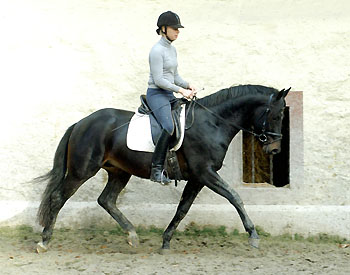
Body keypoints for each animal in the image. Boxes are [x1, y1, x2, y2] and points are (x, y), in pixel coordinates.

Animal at [37, 83, 292, 252]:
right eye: (277, 114)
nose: (275, 150)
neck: (214, 122)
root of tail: (81, 123)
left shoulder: (198, 178)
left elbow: (183, 209)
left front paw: (166, 240)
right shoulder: (206, 173)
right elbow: (235, 197)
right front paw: (253, 235)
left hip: (119, 172)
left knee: (106, 200)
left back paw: (132, 235)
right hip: (82, 170)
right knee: (58, 197)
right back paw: (44, 240)